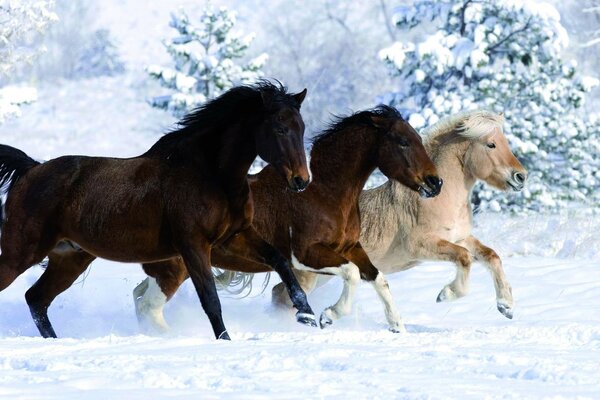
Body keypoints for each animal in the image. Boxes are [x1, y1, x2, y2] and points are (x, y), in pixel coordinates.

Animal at [0, 81, 316, 340]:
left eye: (301, 127)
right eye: (279, 128)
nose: (301, 181)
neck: (211, 174)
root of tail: (31, 169)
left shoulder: (234, 237)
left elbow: (280, 260)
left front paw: (307, 315)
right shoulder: (193, 245)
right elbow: (210, 299)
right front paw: (225, 341)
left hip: (70, 258)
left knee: (36, 299)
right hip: (23, 252)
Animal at [125, 104, 440, 332]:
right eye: (403, 141)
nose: (435, 183)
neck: (323, 193)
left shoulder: (350, 247)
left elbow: (378, 278)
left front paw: (397, 326)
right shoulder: (305, 255)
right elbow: (351, 274)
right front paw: (327, 315)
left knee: (140, 297)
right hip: (174, 268)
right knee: (147, 306)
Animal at [272, 108, 524, 324]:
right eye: (491, 144)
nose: (521, 176)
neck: (437, 199)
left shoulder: (460, 238)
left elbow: (491, 256)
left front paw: (506, 306)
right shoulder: (421, 245)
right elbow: (464, 258)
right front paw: (446, 294)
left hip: (322, 274)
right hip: (309, 274)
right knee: (283, 296)